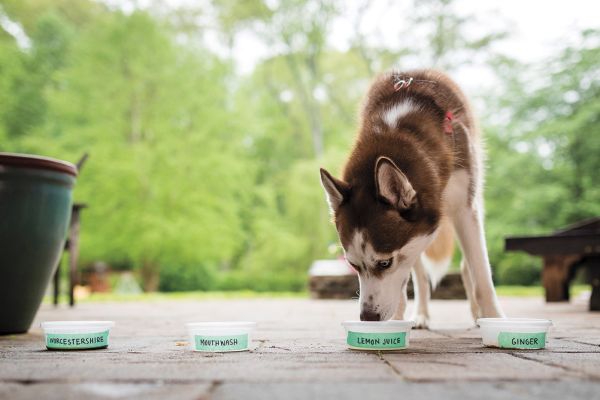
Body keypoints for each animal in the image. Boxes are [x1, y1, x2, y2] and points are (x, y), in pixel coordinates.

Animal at [322, 69, 504, 326]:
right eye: (352, 264)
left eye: (385, 263)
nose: (367, 317)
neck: (395, 130)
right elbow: (406, 283)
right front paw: (397, 319)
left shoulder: (464, 209)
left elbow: (482, 277)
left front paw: (495, 317)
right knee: (421, 277)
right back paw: (420, 315)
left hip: (474, 197)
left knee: (468, 267)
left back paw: (477, 314)